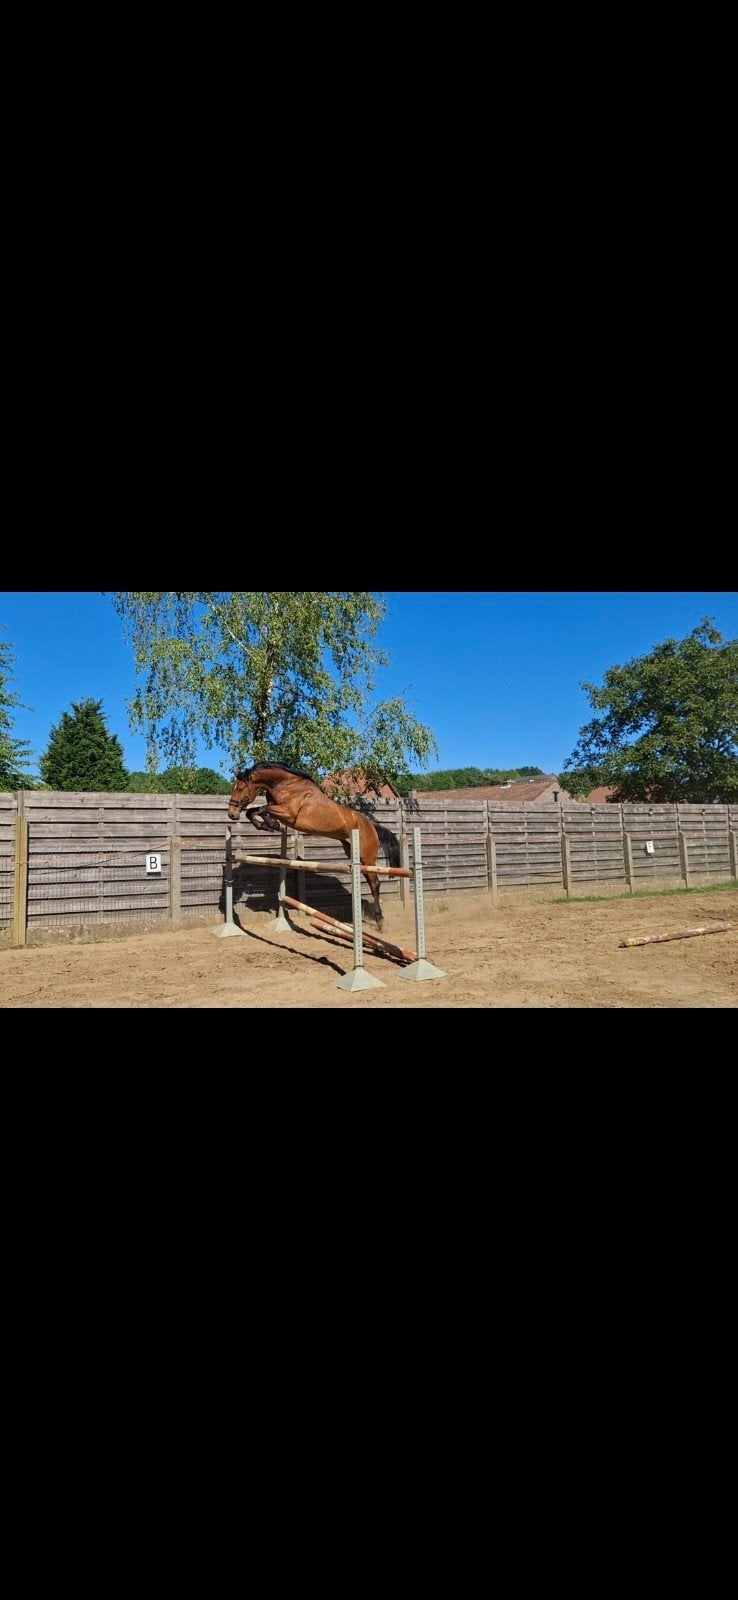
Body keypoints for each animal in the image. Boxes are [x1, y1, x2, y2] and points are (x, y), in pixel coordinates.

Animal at [227, 762, 401, 929]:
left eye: (240, 788)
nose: (231, 814)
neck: (284, 784)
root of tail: (372, 826)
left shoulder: (288, 813)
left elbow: (262, 809)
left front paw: (271, 824)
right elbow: (252, 811)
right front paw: (267, 825)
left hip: (366, 858)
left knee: (375, 883)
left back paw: (379, 920)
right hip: (352, 852)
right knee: (370, 881)